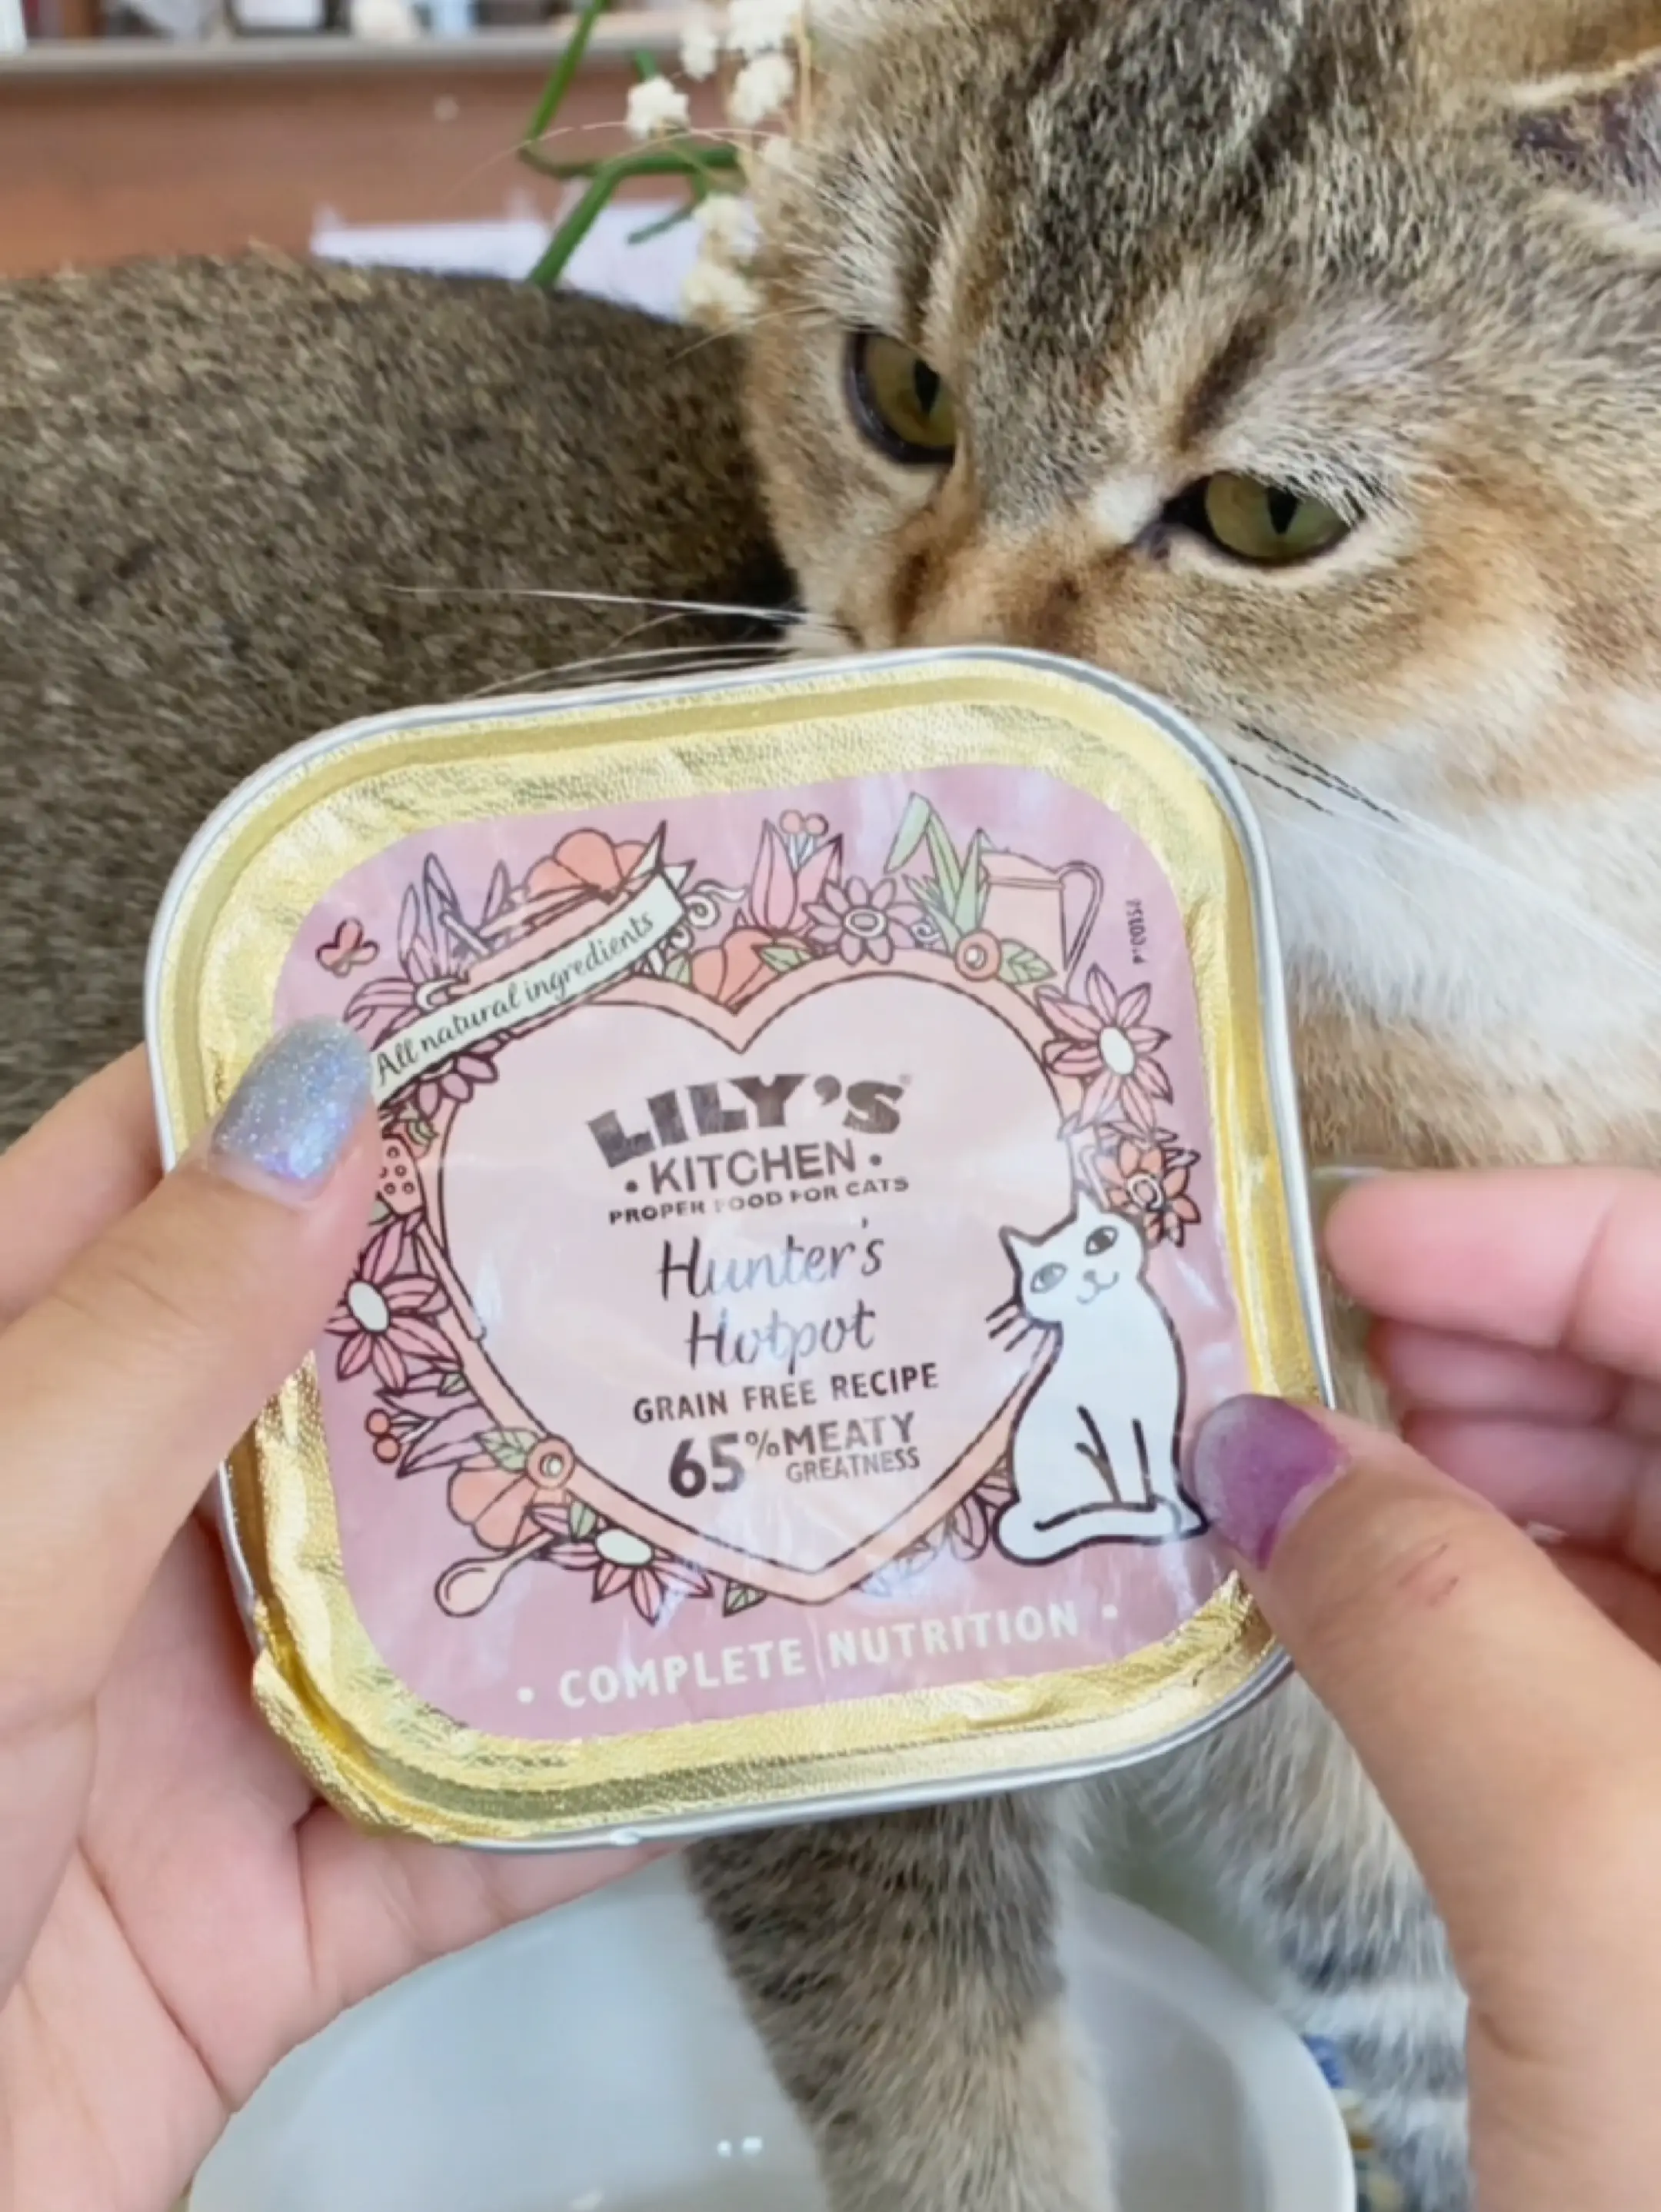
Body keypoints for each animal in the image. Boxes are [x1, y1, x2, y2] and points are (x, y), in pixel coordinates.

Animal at [997, 1198, 1203, 1560]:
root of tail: (1023, 1508)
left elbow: (1162, 1472)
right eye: (1050, 1275)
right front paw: (1146, 1515)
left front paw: (1184, 1516)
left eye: (1101, 1241)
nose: (1089, 1274)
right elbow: (1132, 1477)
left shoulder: (1161, 1417)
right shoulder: (1113, 1423)